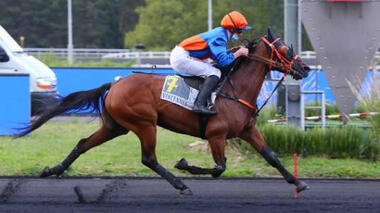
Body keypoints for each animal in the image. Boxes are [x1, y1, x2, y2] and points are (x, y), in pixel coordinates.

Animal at [17, 27, 310, 196]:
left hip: (115, 126)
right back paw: (181, 184)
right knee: (149, 158)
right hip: (144, 124)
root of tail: (115, 84)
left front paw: (298, 183)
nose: (305, 68)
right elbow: (219, 167)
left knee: (83, 143)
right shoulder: (216, 134)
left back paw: (52, 170)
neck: (234, 90)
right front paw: (184, 165)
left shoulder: (248, 131)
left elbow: (271, 156)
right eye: (285, 48)